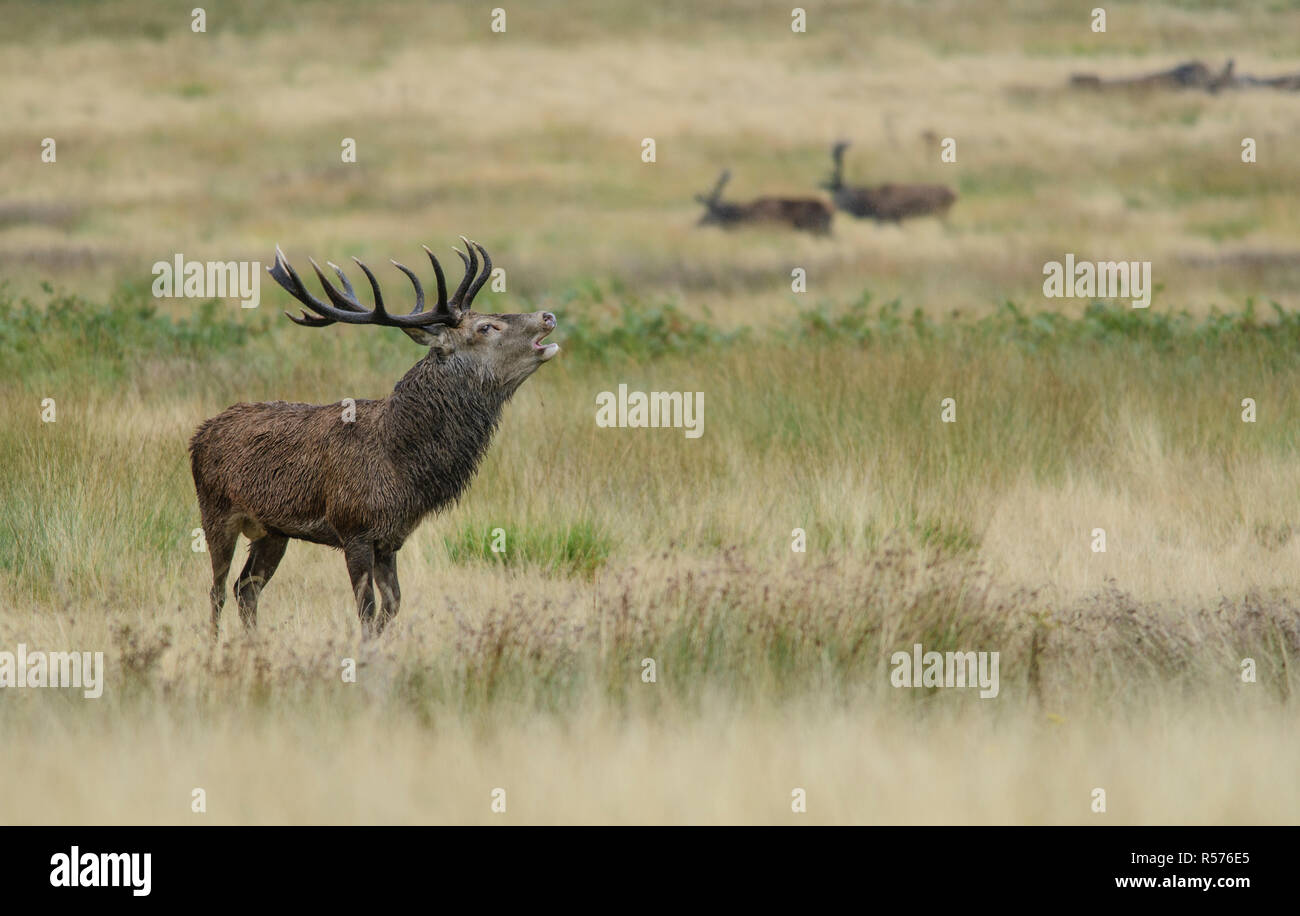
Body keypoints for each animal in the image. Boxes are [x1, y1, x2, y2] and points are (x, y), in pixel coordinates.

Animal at [188, 238, 559, 639]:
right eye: (486, 326)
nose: (547, 316)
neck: (403, 463)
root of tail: (200, 434)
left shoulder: (390, 538)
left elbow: (392, 605)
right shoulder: (354, 528)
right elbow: (366, 611)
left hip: (273, 531)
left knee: (246, 588)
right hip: (216, 511)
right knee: (217, 590)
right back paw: (215, 644)